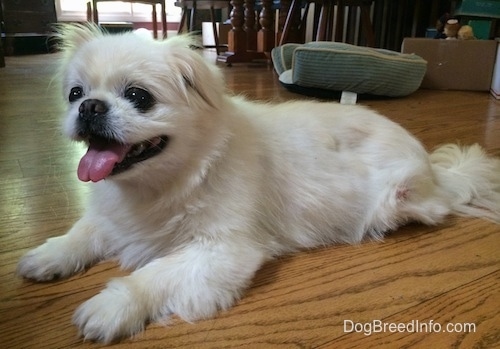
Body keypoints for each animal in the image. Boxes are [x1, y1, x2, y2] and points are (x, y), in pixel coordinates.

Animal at [17, 25, 498, 342]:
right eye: (76, 94)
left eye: (138, 96)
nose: (91, 107)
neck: (164, 183)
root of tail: (433, 170)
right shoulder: (113, 217)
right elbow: (82, 233)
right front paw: (49, 257)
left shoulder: (222, 251)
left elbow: (153, 275)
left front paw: (111, 306)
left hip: (402, 200)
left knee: (430, 205)